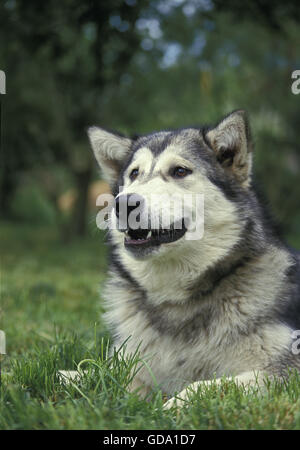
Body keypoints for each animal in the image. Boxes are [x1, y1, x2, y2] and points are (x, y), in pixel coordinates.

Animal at [87, 110, 300, 408]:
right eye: (134, 174)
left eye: (179, 171)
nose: (123, 204)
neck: (176, 300)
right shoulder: (132, 363)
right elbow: (97, 374)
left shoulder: (286, 369)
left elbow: (206, 385)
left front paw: (172, 405)